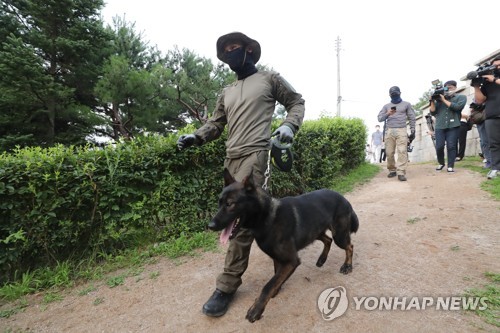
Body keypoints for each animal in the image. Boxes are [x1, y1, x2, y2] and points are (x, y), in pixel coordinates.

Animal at [208, 169, 360, 322]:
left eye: (230, 204)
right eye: (219, 203)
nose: (210, 225)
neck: (267, 217)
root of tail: (343, 198)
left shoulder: (291, 261)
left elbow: (268, 285)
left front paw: (256, 309)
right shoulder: (278, 258)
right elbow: (276, 276)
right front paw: (276, 290)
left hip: (339, 236)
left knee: (349, 246)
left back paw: (347, 266)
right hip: (315, 232)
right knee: (328, 240)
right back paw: (322, 259)